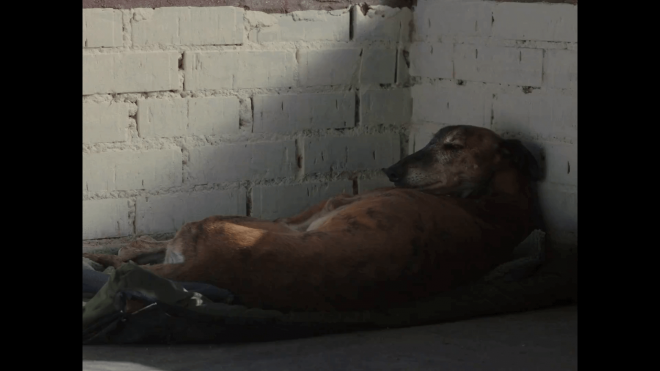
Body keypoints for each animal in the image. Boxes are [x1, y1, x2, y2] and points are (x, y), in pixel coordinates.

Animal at [85, 125, 544, 314]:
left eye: (453, 146)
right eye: (431, 140)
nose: (392, 171)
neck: (495, 202)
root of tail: (209, 268)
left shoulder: (316, 210)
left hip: (226, 223)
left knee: (137, 248)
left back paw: (104, 258)